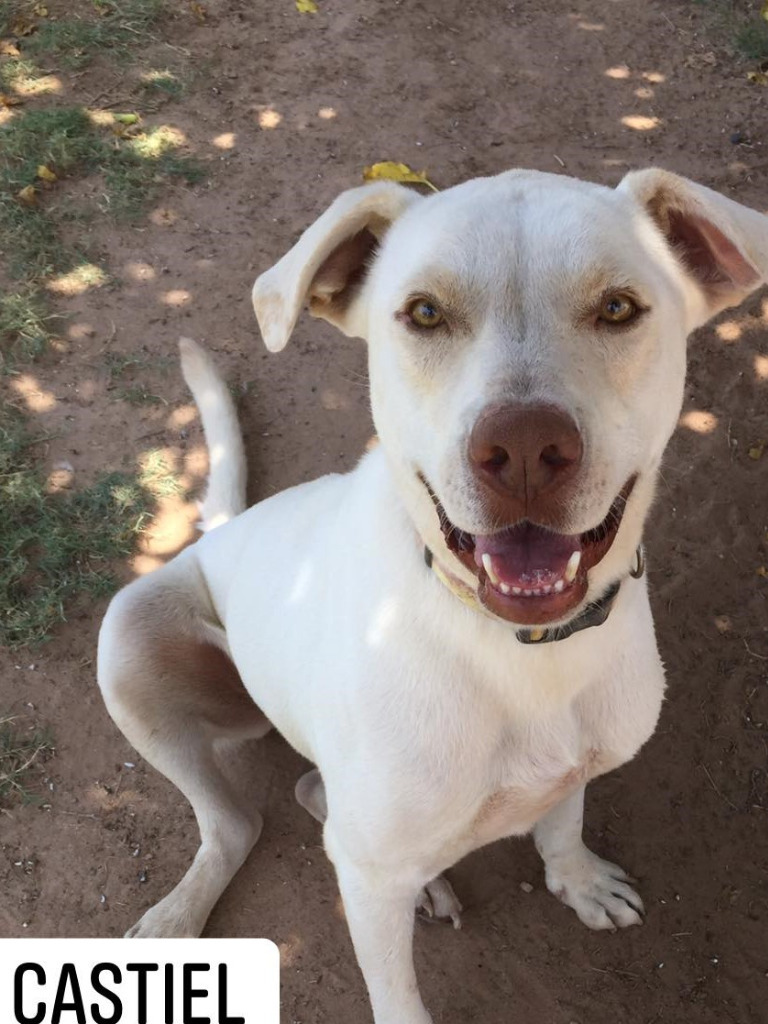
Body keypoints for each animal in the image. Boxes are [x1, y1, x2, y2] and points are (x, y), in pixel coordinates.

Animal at [97, 167, 768, 1024]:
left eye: (618, 308)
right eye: (424, 313)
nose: (523, 448)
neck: (520, 651)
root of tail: (227, 528)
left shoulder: (574, 766)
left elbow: (563, 821)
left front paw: (578, 880)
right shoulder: (368, 878)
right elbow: (397, 995)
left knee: (309, 789)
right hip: (127, 640)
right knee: (237, 825)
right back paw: (178, 918)